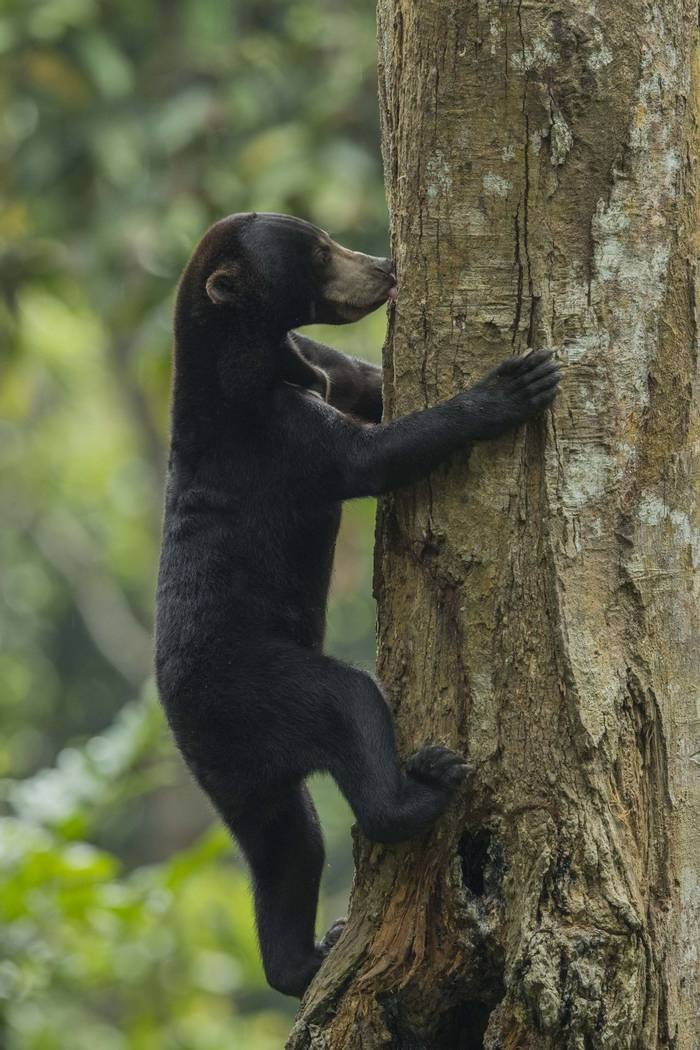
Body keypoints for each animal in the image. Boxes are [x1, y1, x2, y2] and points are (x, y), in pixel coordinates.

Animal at [154, 211, 562, 991]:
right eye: (317, 253)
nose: (385, 267)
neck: (240, 355)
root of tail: (186, 721)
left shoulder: (309, 369)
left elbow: (359, 380)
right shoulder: (277, 437)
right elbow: (373, 456)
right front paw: (517, 381)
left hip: (238, 778)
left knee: (288, 846)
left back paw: (308, 957)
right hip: (262, 684)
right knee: (348, 711)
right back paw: (429, 782)